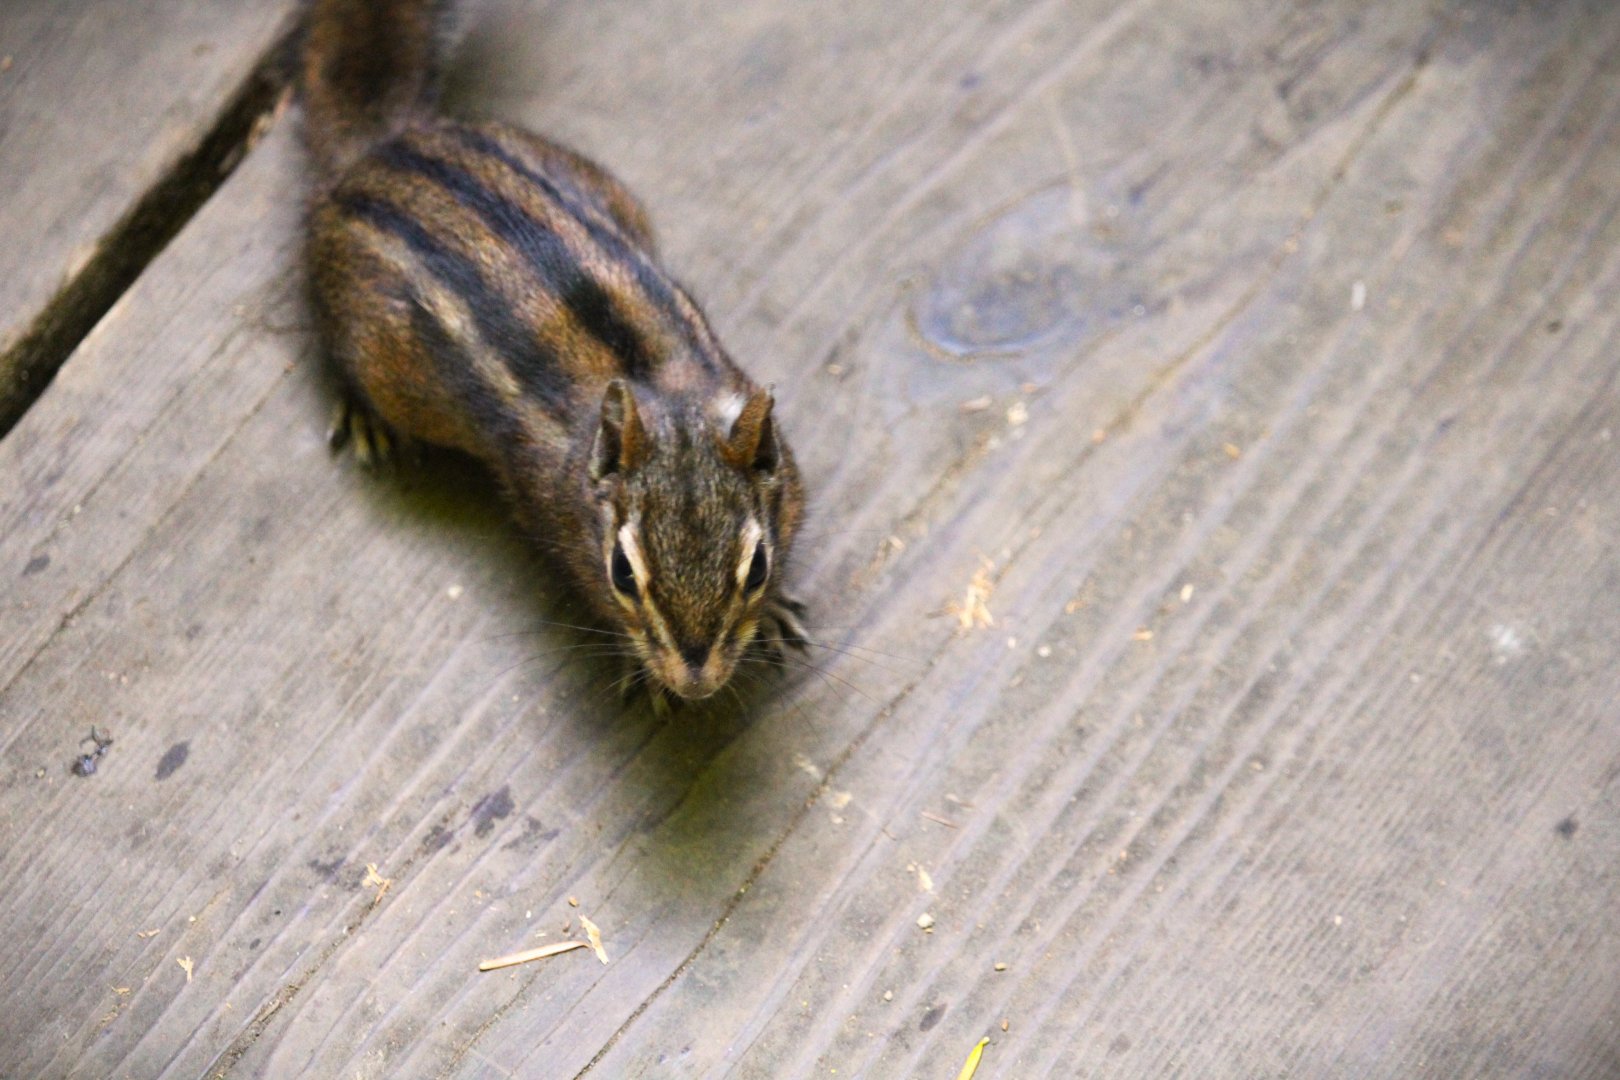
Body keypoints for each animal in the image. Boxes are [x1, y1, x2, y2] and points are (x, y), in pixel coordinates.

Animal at [298, 0, 807, 704]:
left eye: (756, 567)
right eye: (621, 572)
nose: (696, 682)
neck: (665, 395)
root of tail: (383, 147)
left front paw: (778, 609)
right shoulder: (555, 519)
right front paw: (643, 670)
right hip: (374, 344)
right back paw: (366, 415)